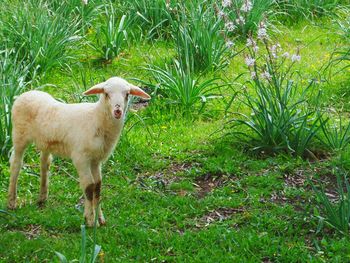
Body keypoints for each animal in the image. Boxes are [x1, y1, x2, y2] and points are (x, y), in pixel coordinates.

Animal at [6, 76, 149, 227]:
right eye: (106, 94)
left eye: (127, 94)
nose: (118, 111)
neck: (96, 118)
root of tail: (25, 94)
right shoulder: (81, 158)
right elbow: (89, 187)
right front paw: (90, 220)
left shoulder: (96, 160)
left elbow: (98, 186)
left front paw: (100, 218)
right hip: (19, 135)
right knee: (16, 163)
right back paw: (11, 201)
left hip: (46, 142)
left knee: (44, 163)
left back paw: (42, 197)